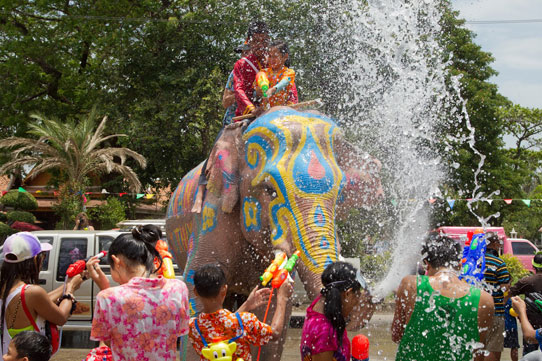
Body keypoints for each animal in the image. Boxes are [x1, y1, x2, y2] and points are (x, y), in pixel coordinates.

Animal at [166, 107, 382, 360]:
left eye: (340, 195)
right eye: (269, 190)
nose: (361, 300)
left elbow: (268, 317)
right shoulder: (212, 215)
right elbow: (195, 284)